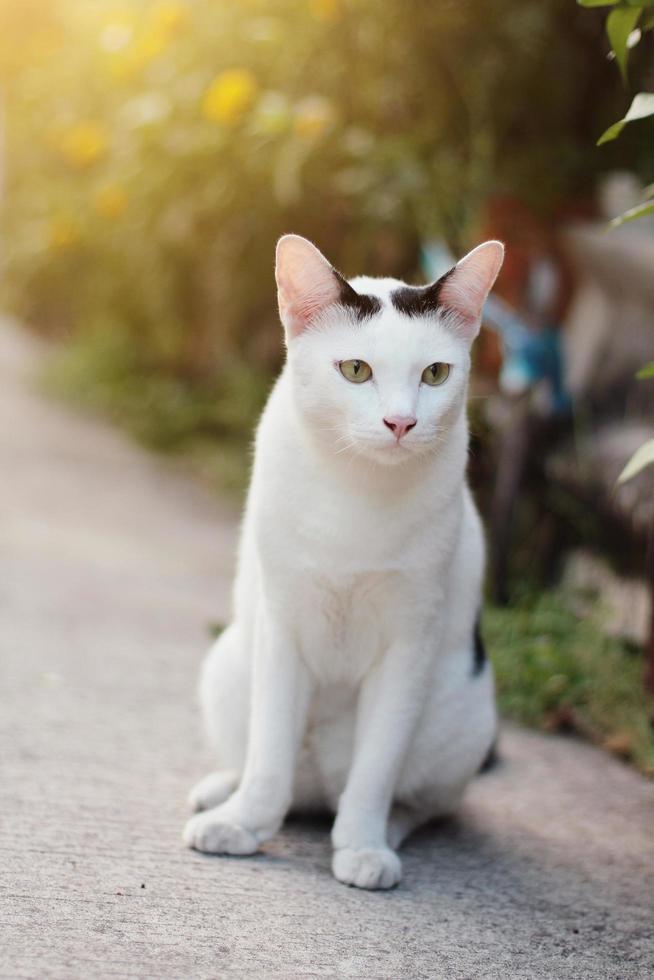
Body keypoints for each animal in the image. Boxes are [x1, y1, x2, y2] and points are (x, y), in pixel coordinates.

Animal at [184, 235, 508, 888]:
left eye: (435, 374)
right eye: (356, 370)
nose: (401, 422)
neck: (356, 492)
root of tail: (319, 794)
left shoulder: (410, 641)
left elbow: (377, 766)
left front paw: (361, 845)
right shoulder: (282, 624)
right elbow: (270, 754)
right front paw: (244, 824)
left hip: (465, 716)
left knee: (421, 802)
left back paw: (383, 831)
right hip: (231, 662)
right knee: (266, 762)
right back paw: (223, 795)